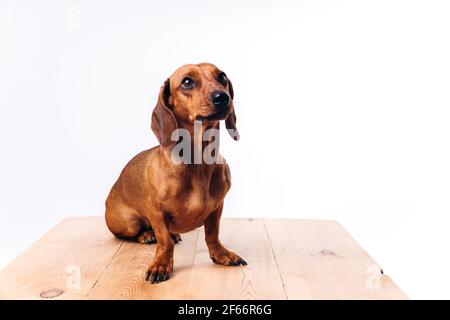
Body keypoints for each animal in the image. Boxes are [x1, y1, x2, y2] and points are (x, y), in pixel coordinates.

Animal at [104, 63, 246, 284]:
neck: (198, 163)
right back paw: (146, 235)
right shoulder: (156, 213)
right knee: (131, 233)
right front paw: (161, 264)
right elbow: (164, 242)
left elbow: (212, 235)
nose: (222, 97)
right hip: (128, 223)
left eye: (222, 76)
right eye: (187, 81)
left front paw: (222, 255)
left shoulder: (217, 208)